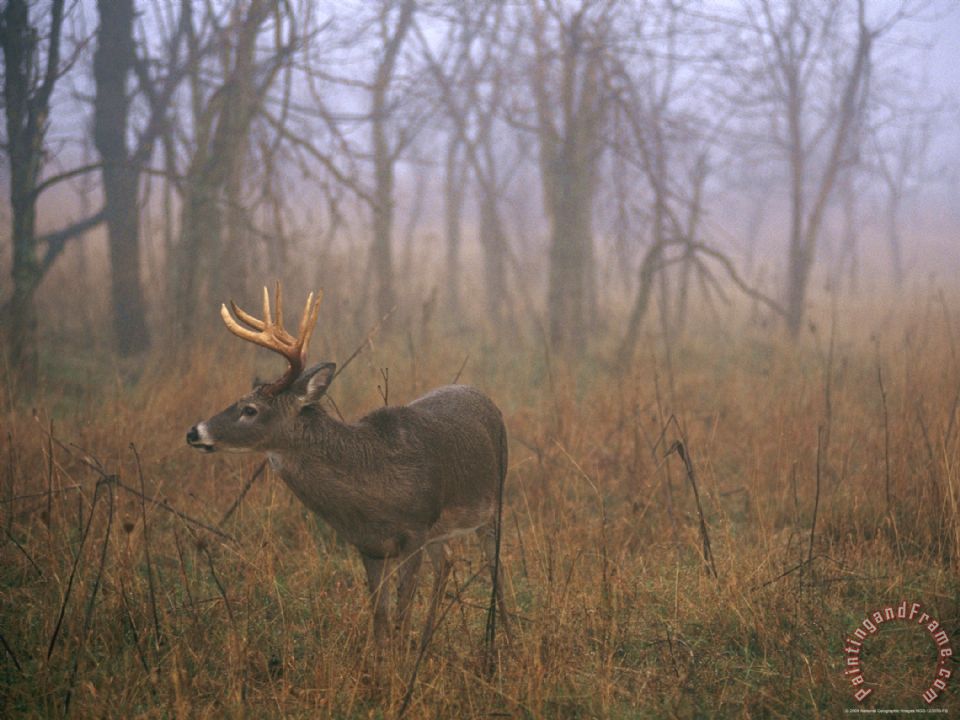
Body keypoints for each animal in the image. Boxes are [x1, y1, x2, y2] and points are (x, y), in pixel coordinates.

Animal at [186, 284, 509, 650]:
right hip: (442, 530)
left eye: (250, 410)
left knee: (497, 568)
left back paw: (503, 642)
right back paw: (426, 646)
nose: (194, 431)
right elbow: (380, 617)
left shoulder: (414, 532)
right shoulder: (369, 546)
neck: (370, 487)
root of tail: (485, 397)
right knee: (449, 562)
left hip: (492, 503)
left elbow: (401, 615)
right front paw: (384, 663)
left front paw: (402, 662)